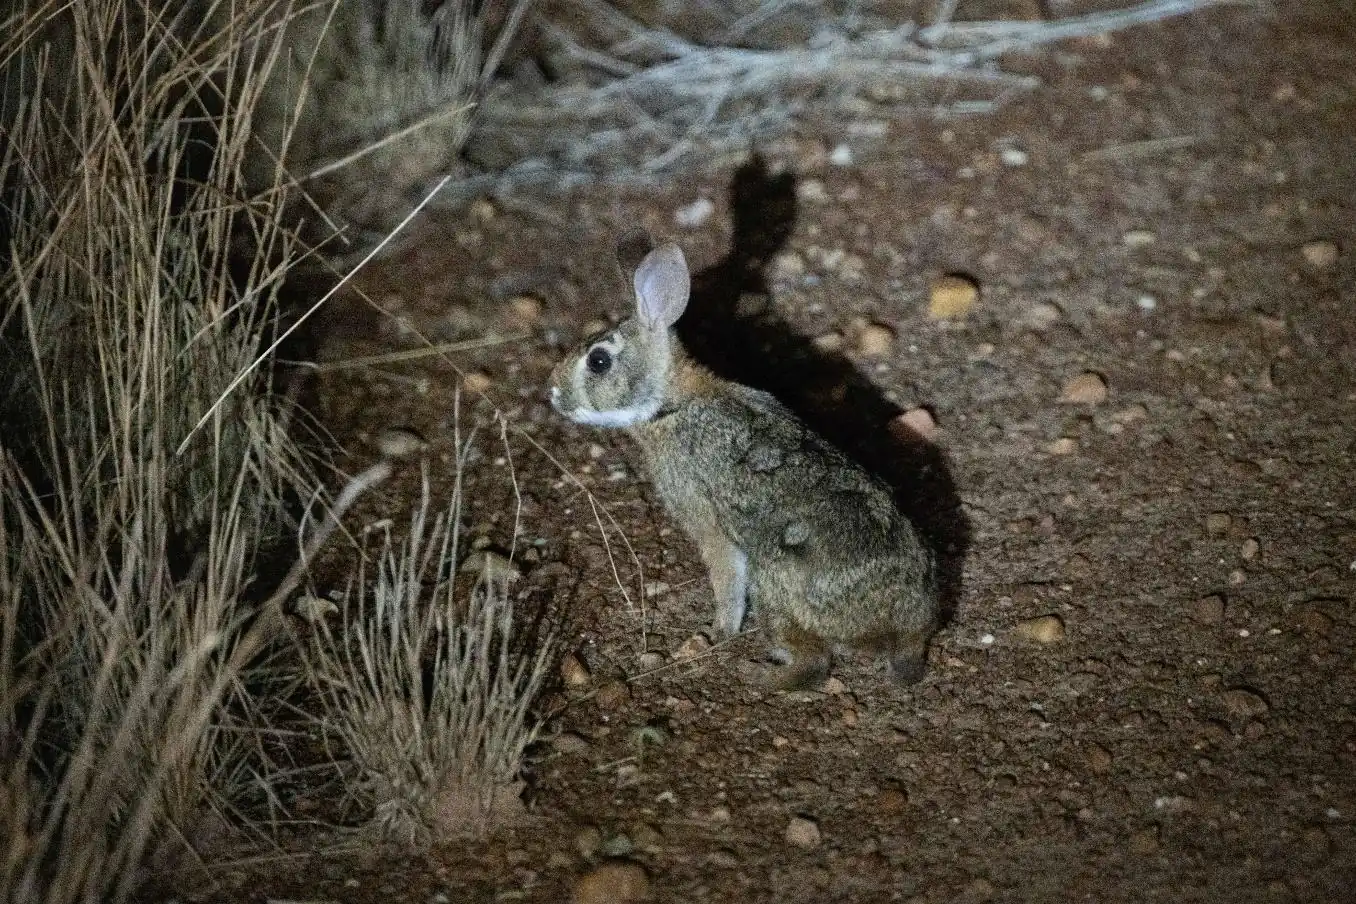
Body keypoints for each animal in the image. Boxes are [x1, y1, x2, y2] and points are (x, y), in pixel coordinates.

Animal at [548, 242, 939, 689]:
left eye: (598, 361)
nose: (553, 393)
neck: (670, 404)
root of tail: (904, 624)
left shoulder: (704, 518)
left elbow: (725, 575)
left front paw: (718, 632)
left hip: (776, 584)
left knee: (816, 662)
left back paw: (761, 674)